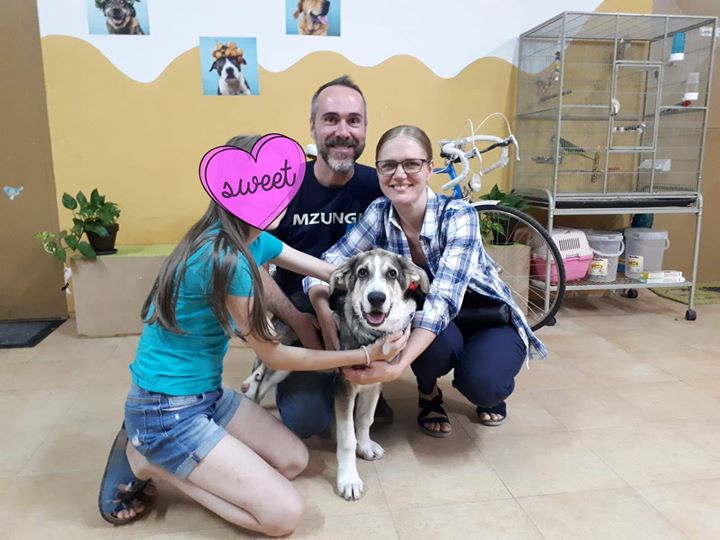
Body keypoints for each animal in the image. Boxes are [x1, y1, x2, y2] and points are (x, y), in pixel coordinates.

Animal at [241, 249, 429, 500]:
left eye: (392, 273)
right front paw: (349, 480)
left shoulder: (375, 381)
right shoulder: (345, 385)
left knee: (257, 379)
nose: (376, 298)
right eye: (362, 272)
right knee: (260, 386)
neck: (371, 335)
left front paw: (365, 446)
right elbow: (347, 437)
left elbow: (365, 419)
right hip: (281, 362)